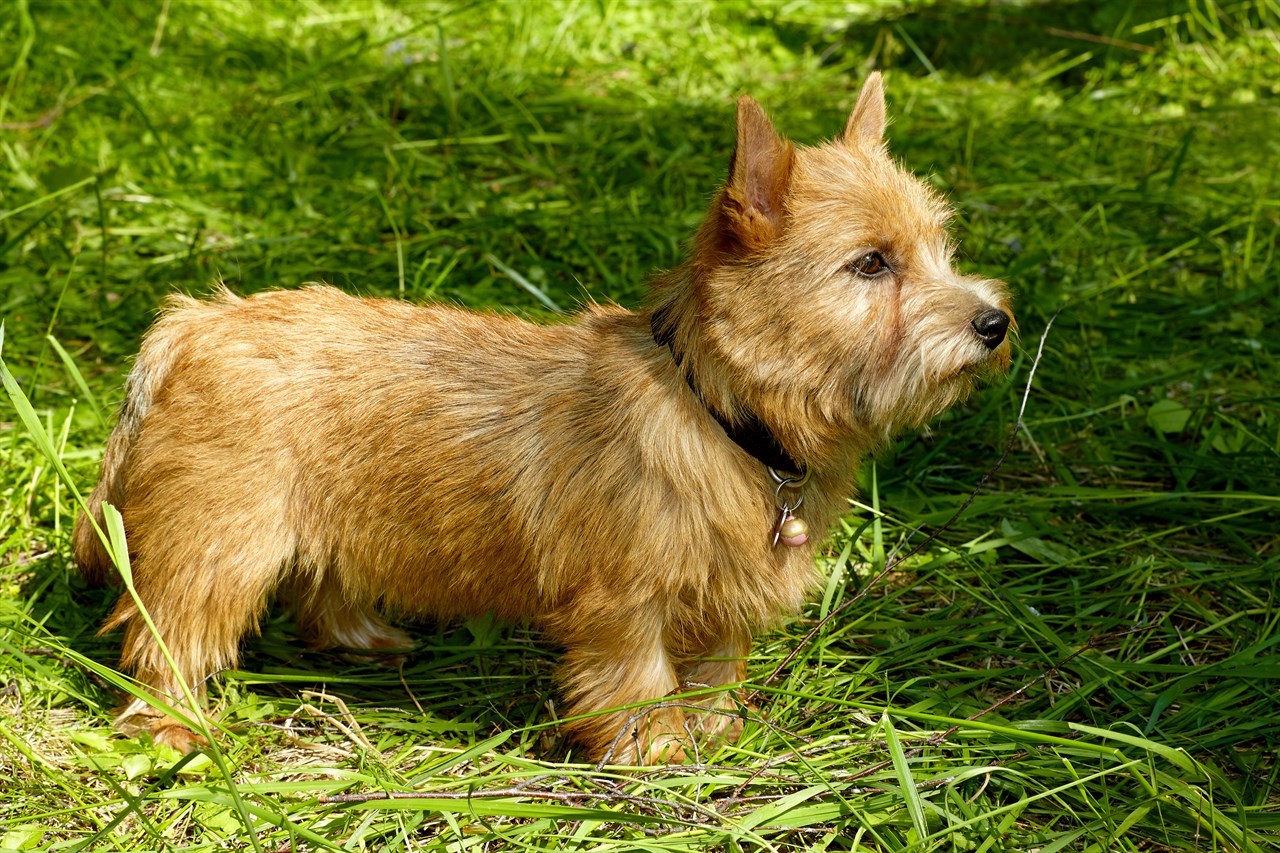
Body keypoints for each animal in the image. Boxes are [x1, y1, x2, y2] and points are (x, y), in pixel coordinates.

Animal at [72, 73, 1008, 758]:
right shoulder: (623, 605)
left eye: (942, 249)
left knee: (319, 581)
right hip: (218, 548)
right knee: (165, 639)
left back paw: (363, 636)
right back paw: (170, 728)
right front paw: (659, 759)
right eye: (871, 264)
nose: (994, 321)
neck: (716, 409)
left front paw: (720, 736)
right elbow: (639, 684)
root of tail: (197, 320)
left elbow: (714, 672)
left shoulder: (721, 600)